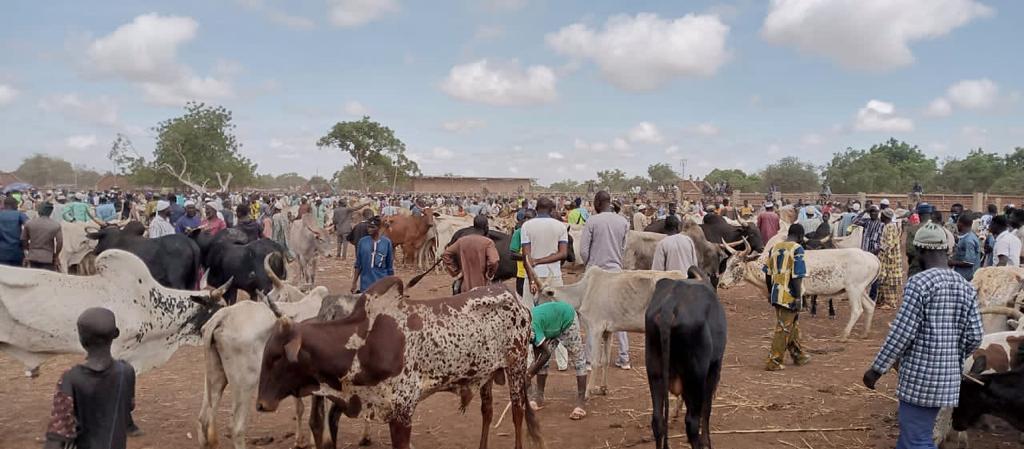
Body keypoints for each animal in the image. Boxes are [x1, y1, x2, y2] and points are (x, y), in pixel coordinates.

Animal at [256, 276, 544, 449]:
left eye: (277, 356)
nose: (261, 404)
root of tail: (515, 297)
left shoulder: (402, 411)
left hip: (516, 366)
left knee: (517, 413)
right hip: (486, 373)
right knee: (488, 411)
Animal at [536, 264, 688, 393]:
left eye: (538, 301)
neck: (584, 292)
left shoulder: (595, 328)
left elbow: (595, 361)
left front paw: (588, 392)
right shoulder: (608, 331)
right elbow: (605, 360)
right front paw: (603, 388)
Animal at [647, 270, 729, 449]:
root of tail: (670, 304)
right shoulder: (714, 367)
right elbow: (707, 408)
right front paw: (706, 442)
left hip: (654, 370)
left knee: (657, 419)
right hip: (696, 375)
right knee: (692, 421)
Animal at [712, 247, 880, 338]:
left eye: (736, 264)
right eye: (727, 263)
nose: (721, 284)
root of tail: (873, 257)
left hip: (854, 289)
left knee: (857, 310)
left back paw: (844, 335)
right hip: (861, 290)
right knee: (870, 306)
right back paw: (865, 332)